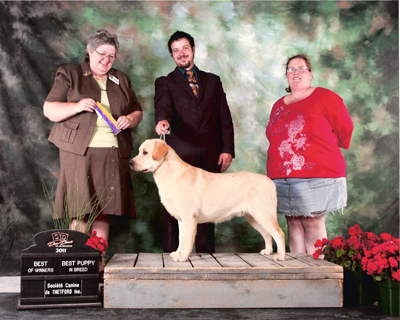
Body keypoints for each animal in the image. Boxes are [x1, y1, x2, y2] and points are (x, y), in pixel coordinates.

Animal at [130, 139, 284, 262]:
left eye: (145, 152)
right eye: (139, 151)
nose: (130, 162)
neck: (170, 173)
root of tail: (270, 181)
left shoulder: (189, 216)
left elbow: (187, 239)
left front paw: (183, 257)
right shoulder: (181, 219)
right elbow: (181, 238)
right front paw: (177, 253)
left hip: (263, 214)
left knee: (279, 233)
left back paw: (280, 256)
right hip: (253, 217)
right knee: (267, 234)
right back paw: (268, 251)